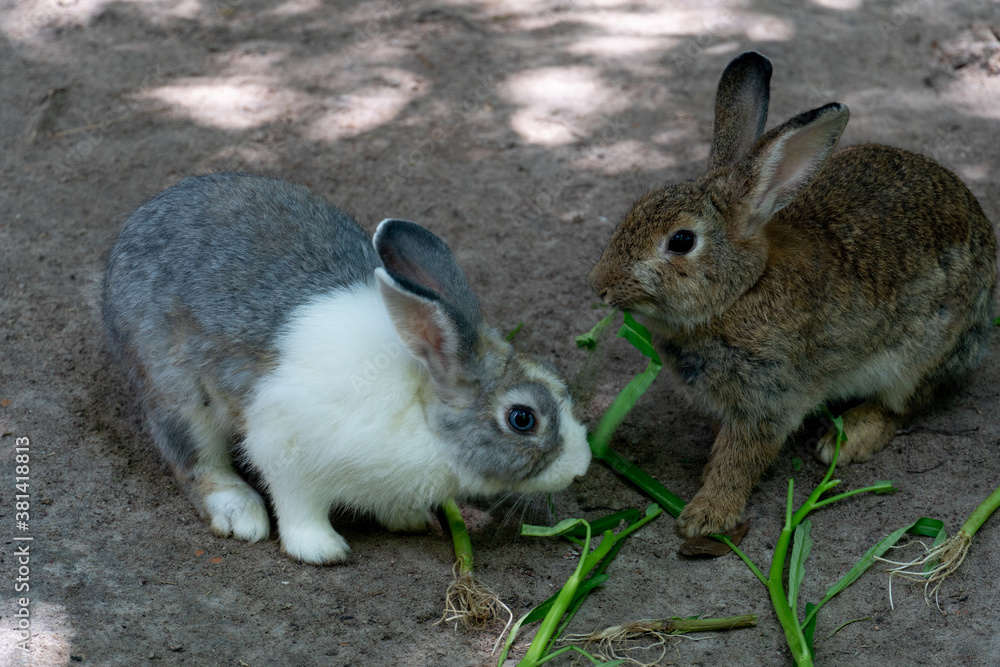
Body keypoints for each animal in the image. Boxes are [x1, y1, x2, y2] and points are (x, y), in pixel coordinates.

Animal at [102, 172, 592, 564]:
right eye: (522, 419)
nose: (580, 468)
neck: (421, 404)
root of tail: (133, 226)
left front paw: (409, 519)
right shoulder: (285, 449)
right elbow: (298, 506)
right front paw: (322, 551)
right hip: (178, 394)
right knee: (196, 461)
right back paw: (240, 513)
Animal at [589, 52, 997, 538]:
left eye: (682, 241)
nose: (599, 284)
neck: (741, 292)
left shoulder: (770, 397)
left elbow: (743, 457)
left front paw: (706, 516)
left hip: (922, 354)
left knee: (904, 404)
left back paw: (845, 439)